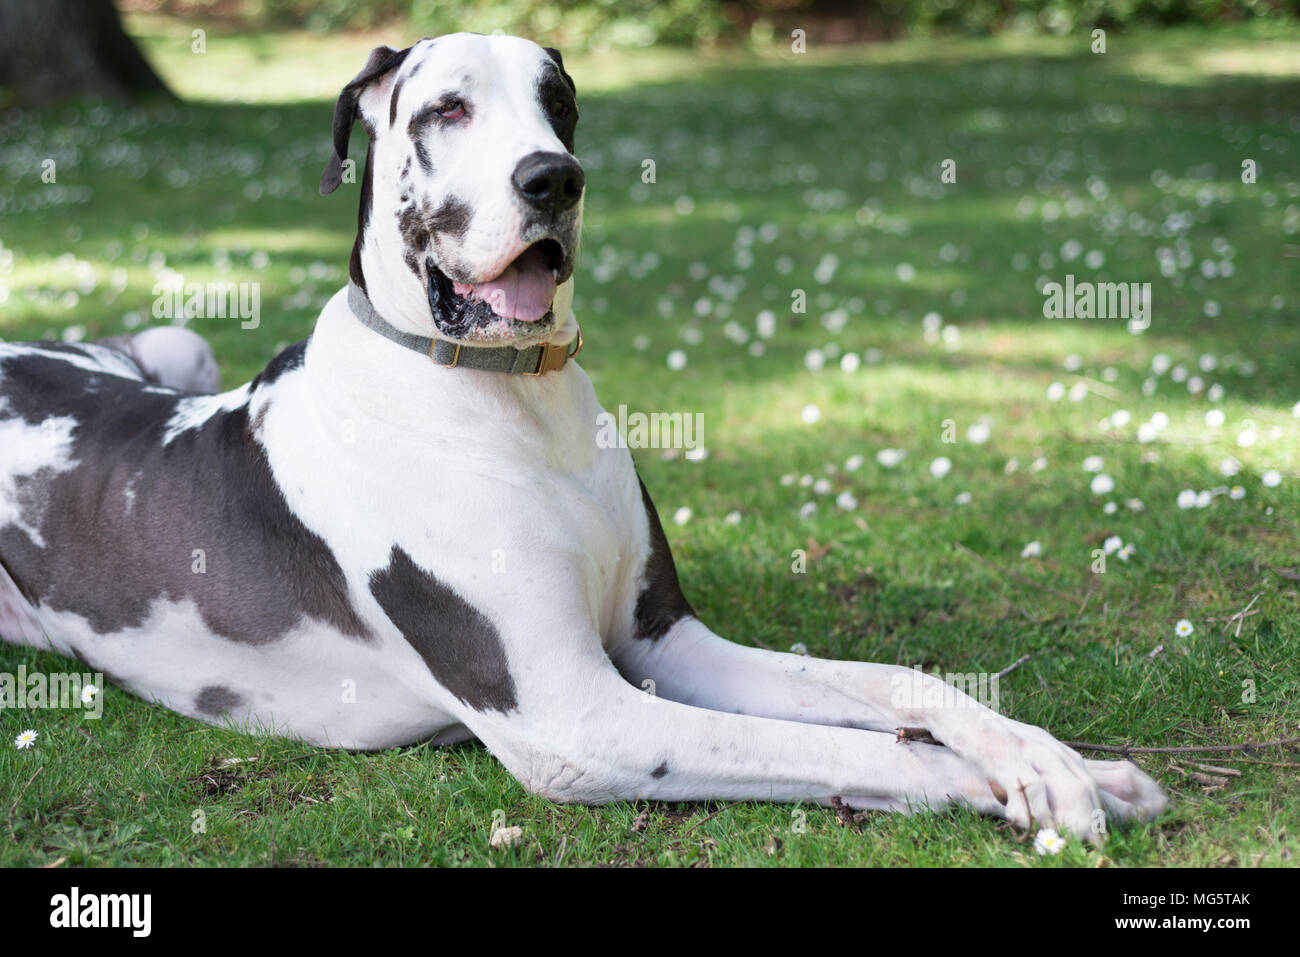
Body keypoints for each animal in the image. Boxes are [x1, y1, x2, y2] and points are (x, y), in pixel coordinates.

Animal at [2, 31, 1170, 837]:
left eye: (557, 102)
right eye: (449, 108)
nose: (551, 178)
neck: (514, 400)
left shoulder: (666, 641)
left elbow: (899, 686)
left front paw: (1054, 759)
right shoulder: (576, 719)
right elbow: (863, 746)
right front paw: (988, 781)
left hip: (178, 340)